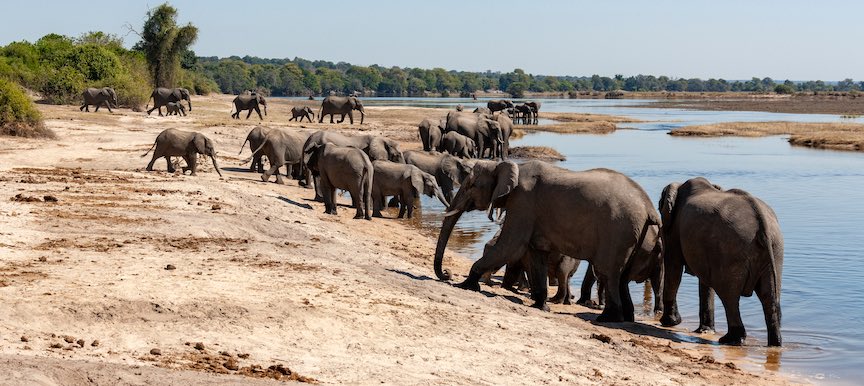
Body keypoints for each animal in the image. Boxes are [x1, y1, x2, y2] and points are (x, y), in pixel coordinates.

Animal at [432, 159, 660, 320]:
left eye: (471, 185)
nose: (447, 274)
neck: (505, 164)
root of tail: (649, 207)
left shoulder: (523, 203)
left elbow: (510, 245)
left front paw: (465, 285)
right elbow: (535, 254)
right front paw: (540, 306)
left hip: (618, 229)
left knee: (606, 271)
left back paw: (606, 320)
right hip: (637, 234)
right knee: (622, 276)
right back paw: (625, 318)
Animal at [660, 176, 784, 346]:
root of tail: (761, 219)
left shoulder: (675, 231)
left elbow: (674, 267)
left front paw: (669, 323)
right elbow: (704, 280)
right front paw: (704, 331)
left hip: (732, 251)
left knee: (729, 296)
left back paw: (730, 340)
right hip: (774, 250)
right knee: (769, 297)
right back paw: (774, 344)